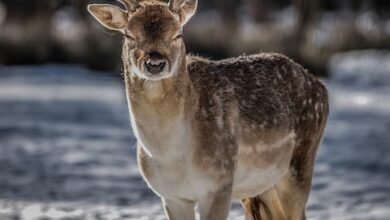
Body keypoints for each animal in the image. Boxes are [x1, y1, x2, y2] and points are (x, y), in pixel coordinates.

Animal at [88, 0, 330, 219]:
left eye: (178, 34)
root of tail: (321, 87)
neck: (173, 158)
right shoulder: (171, 196)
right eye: (129, 35)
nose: (155, 63)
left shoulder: (219, 183)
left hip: (300, 164)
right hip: (260, 189)